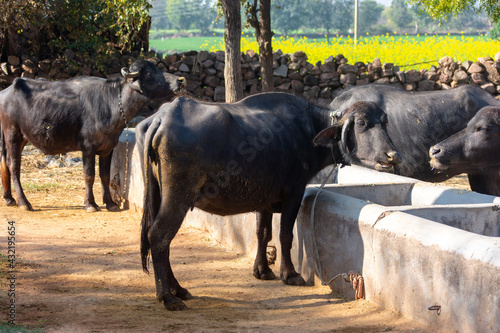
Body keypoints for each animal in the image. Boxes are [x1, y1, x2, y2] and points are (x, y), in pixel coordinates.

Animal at [0, 58, 186, 211]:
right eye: (149, 73)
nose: (181, 80)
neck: (111, 103)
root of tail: (5, 92)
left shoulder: (108, 148)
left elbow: (105, 175)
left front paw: (110, 203)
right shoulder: (87, 148)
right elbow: (89, 175)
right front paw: (90, 204)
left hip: (21, 137)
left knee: (5, 162)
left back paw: (9, 199)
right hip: (12, 134)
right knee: (14, 165)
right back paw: (24, 202)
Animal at [135, 92, 400, 310]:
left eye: (385, 122)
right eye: (362, 124)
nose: (392, 155)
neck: (307, 131)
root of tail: (162, 118)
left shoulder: (264, 201)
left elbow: (262, 233)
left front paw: (262, 270)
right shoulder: (294, 193)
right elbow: (285, 235)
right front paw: (290, 274)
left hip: (156, 193)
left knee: (160, 239)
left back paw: (179, 289)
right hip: (177, 197)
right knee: (159, 235)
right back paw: (167, 297)